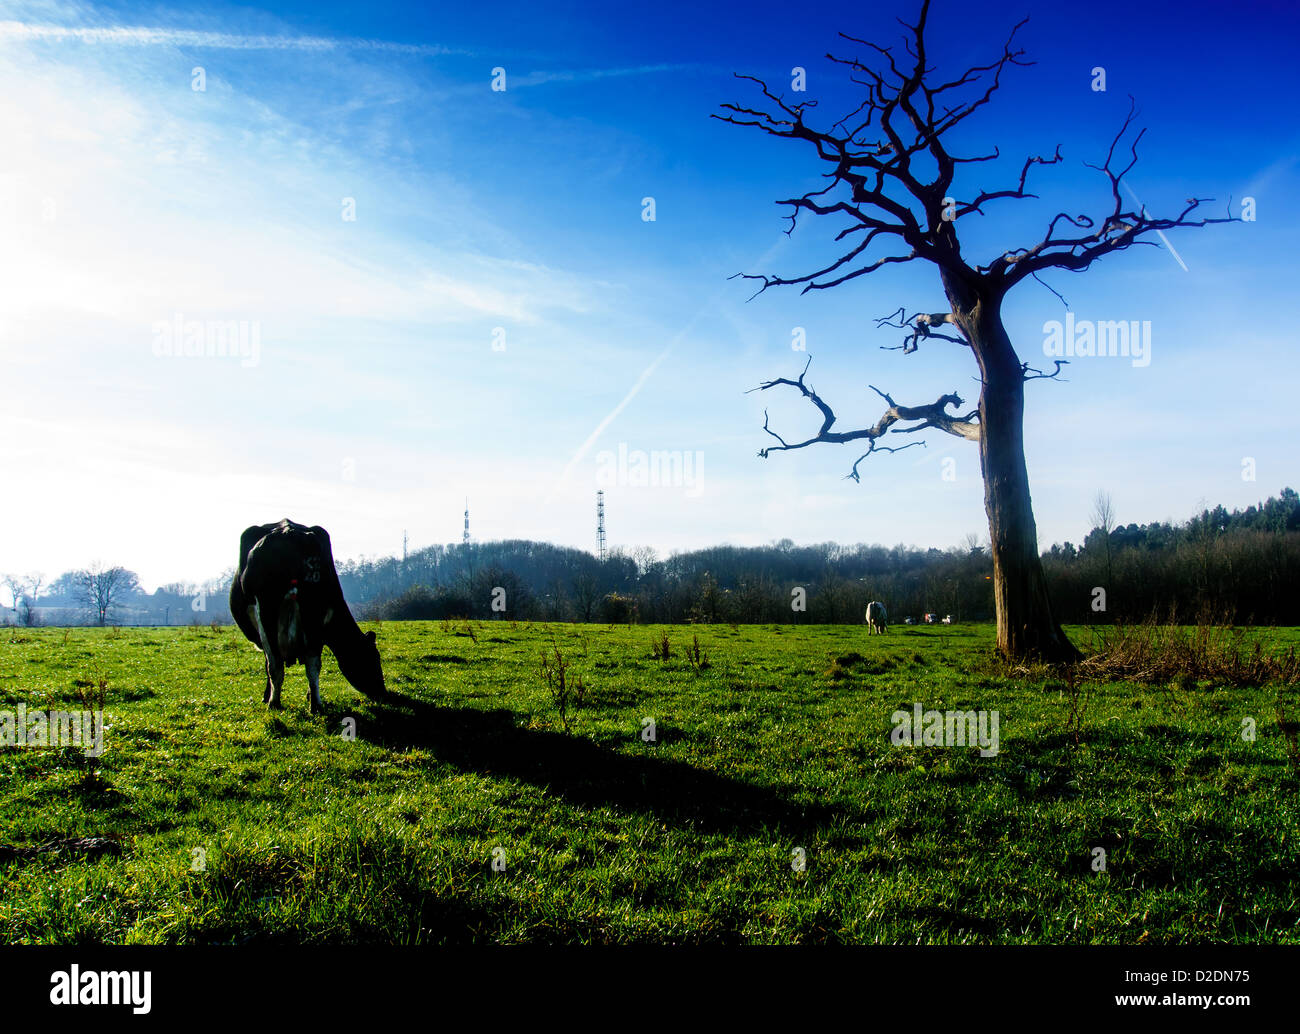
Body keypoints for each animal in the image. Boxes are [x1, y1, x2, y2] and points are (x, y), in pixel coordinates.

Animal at [230, 517, 384, 712]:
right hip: (312, 608)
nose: (383, 692)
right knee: (312, 663)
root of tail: (288, 532)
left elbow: (268, 663)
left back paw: (275, 703)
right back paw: (315, 704)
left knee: (277, 664)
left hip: (268, 607)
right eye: (373, 658)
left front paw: (268, 696)